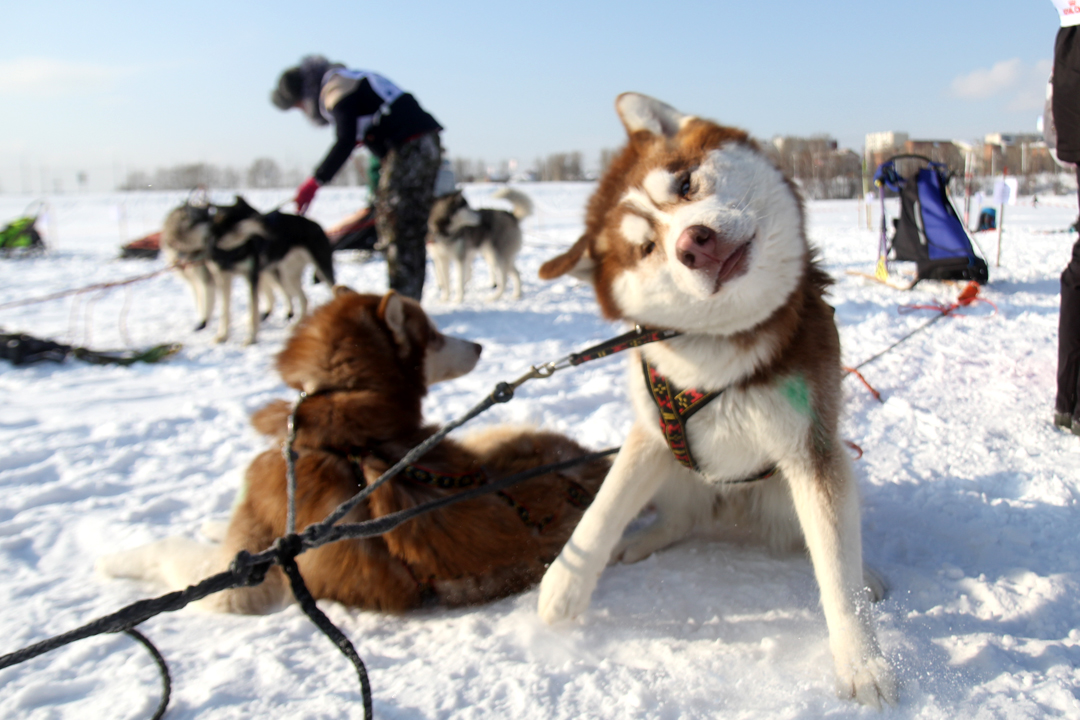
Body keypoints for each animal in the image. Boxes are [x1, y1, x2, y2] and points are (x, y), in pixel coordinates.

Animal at [96, 287, 609, 613]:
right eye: (434, 334)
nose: (480, 346)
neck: (346, 429)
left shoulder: (242, 581)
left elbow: (176, 552)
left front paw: (111, 555)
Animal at [535, 92, 898, 708]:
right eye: (645, 248)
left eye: (684, 184)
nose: (692, 244)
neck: (725, 358)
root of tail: (731, 510)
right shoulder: (649, 432)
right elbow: (603, 509)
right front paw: (563, 586)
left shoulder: (811, 450)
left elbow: (835, 569)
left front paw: (862, 661)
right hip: (678, 470)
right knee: (680, 517)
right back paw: (647, 538)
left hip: (797, 483)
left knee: (822, 544)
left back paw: (867, 573)